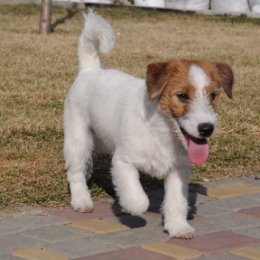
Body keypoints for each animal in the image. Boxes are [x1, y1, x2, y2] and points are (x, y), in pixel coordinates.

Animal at [63, 11, 234, 240]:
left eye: (213, 95)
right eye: (182, 96)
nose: (206, 128)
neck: (162, 131)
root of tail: (91, 69)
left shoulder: (179, 168)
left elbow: (176, 201)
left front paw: (178, 226)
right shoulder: (123, 162)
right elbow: (138, 199)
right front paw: (131, 207)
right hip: (78, 138)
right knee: (75, 171)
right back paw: (81, 200)